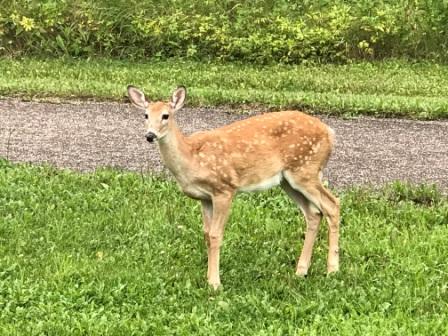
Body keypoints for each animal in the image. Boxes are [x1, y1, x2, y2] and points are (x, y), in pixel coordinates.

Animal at [127, 85, 340, 290]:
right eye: (145, 115)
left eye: (166, 115)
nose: (150, 135)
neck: (192, 157)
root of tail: (330, 132)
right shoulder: (205, 198)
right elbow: (206, 234)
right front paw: (208, 278)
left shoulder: (225, 188)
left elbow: (215, 235)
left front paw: (215, 283)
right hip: (288, 180)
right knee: (314, 213)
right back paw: (301, 271)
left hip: (305, 169)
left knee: (332, 205)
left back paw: (332, 270)